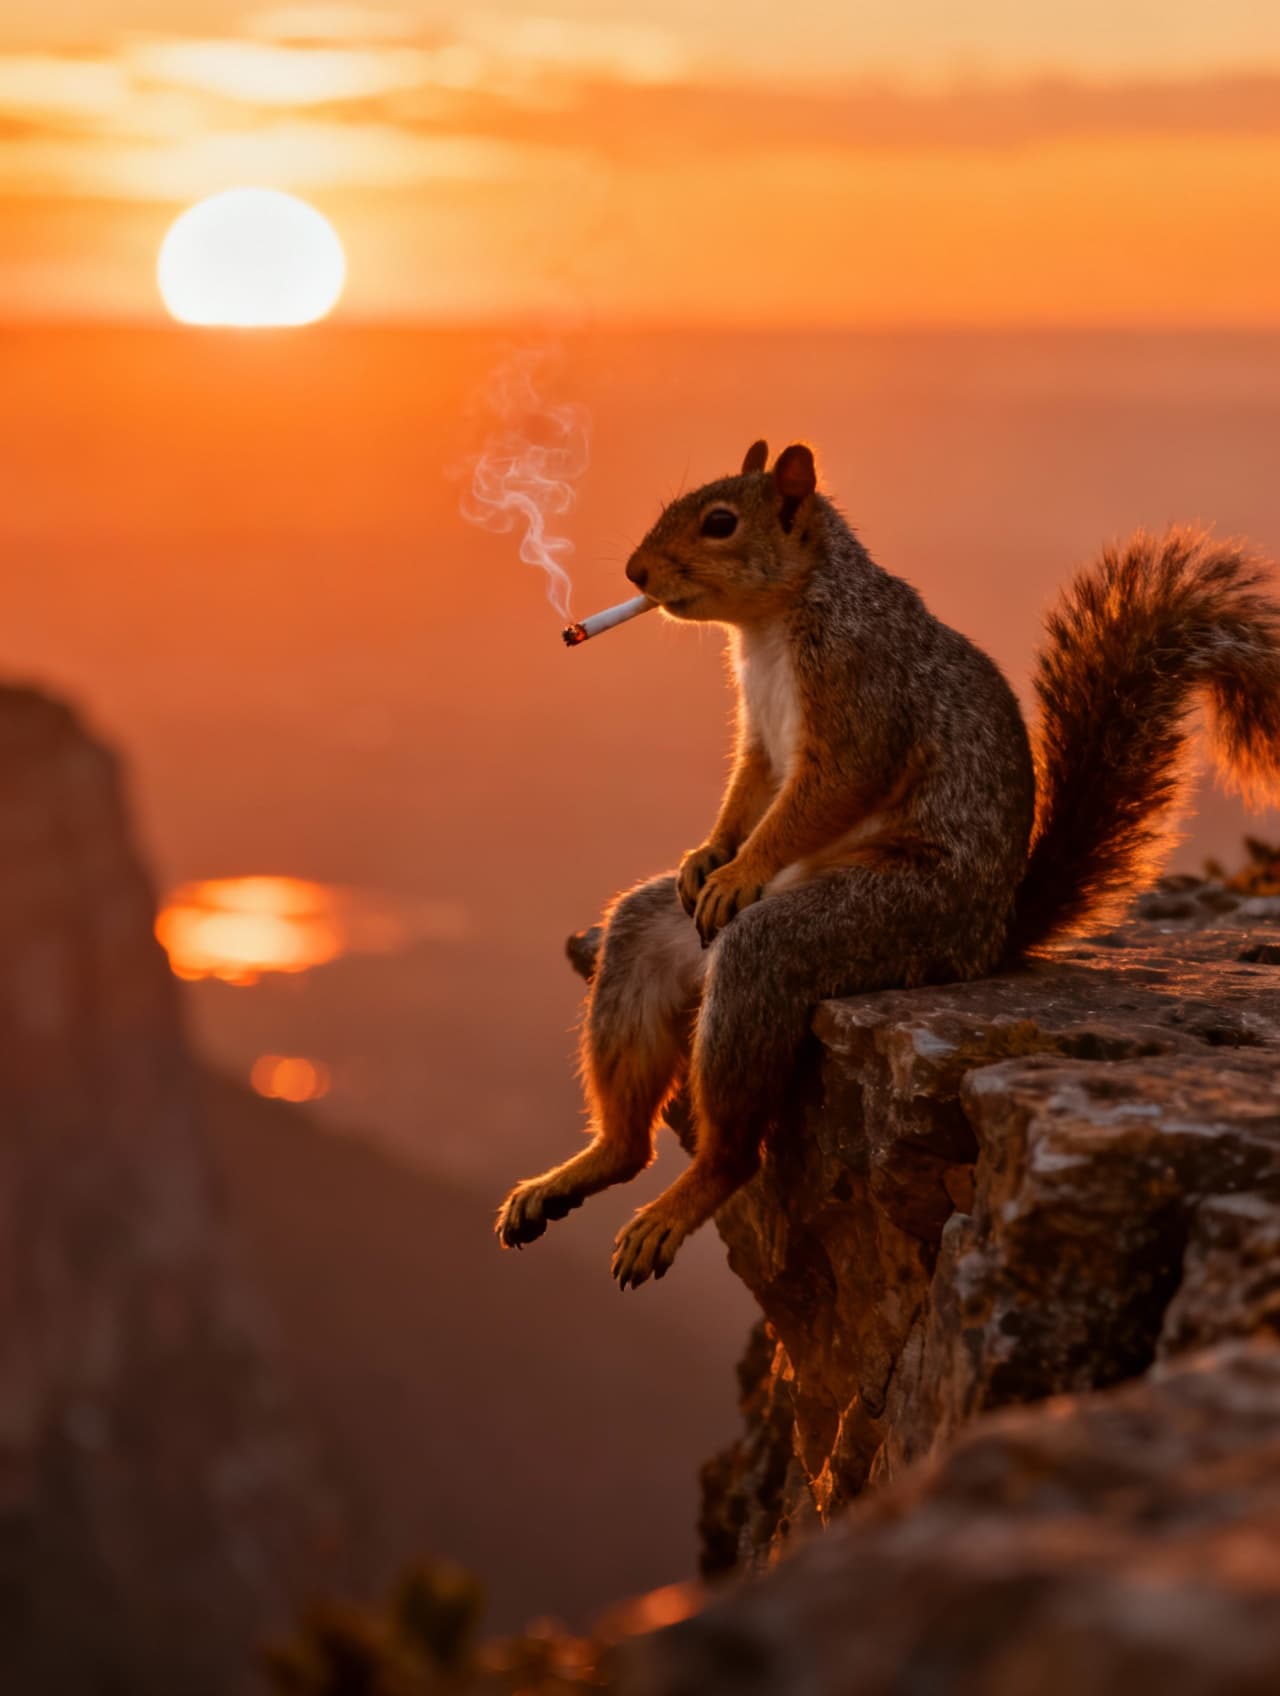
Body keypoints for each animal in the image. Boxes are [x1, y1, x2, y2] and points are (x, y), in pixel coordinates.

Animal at [496, 439, 1280, 1288]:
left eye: (719, 522)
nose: (636, 572)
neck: (773, 622)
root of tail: (989, 939)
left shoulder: (861, 692)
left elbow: (828, 788)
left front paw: (738, 871)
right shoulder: (763, 741)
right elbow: (752, 785)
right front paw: (708, 855)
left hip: (864, 924)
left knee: (741, 1119)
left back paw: (682, 1197)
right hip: (657, 940)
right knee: (634, 1068)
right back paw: (582, 1170)